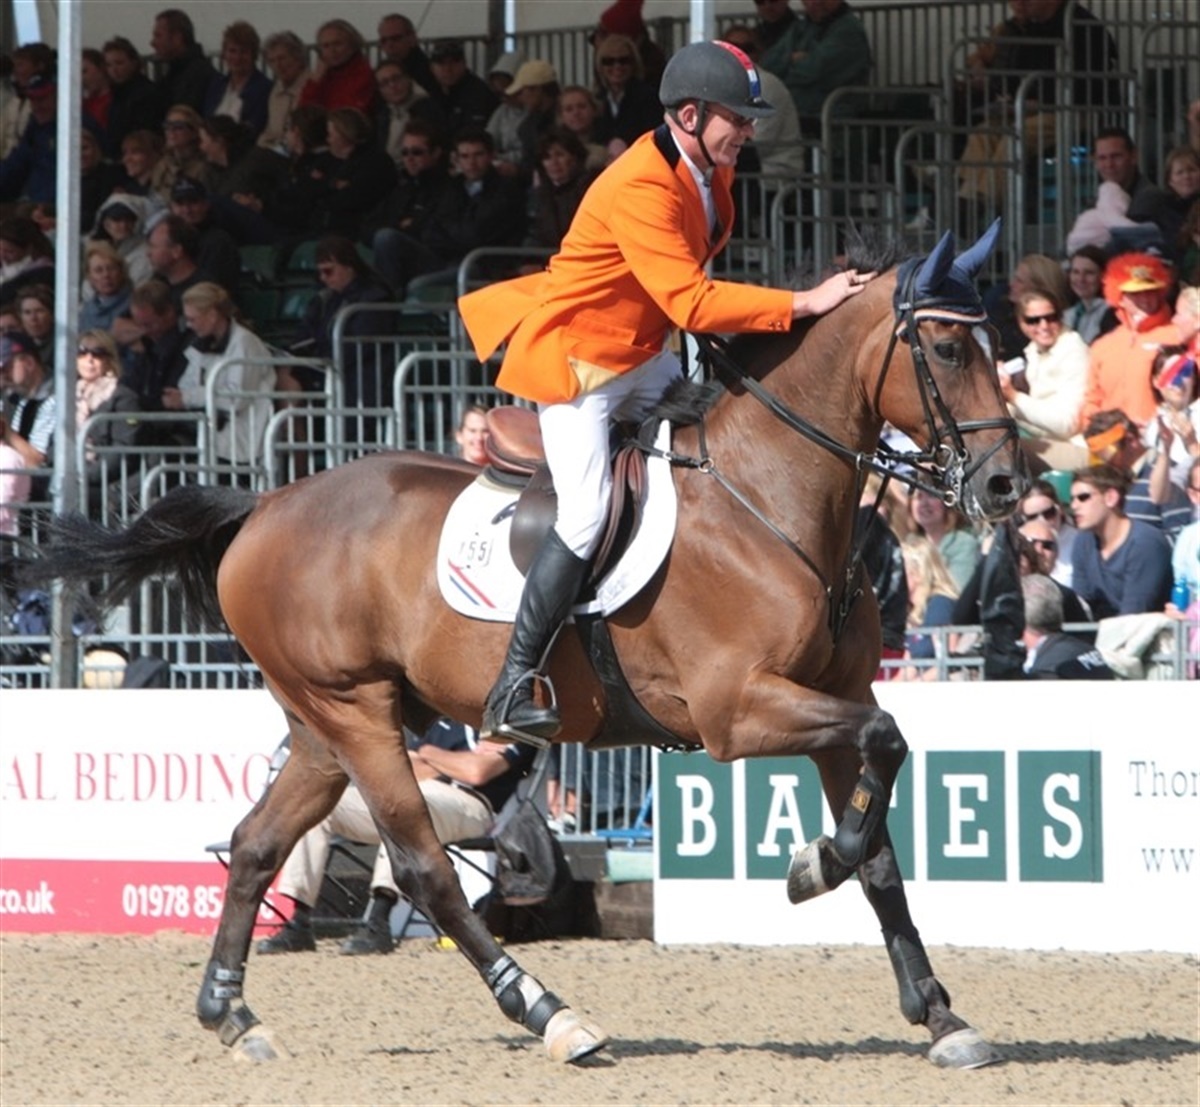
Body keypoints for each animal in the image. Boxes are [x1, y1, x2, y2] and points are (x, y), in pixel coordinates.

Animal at [34, 225, 1027, 1069]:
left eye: (1002, 346)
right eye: (948, 350)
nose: (1005, 485)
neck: (768, 498)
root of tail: (266, 503)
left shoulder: (834, 694)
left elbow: (883, 839)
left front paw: (940, 1012)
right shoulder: (737, 709)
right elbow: (886, 751)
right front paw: (813, 864)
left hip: (324, 724)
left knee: (254, 845)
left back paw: (232, 1013)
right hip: (357, 714)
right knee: (425, 869)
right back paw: (554, 1016)